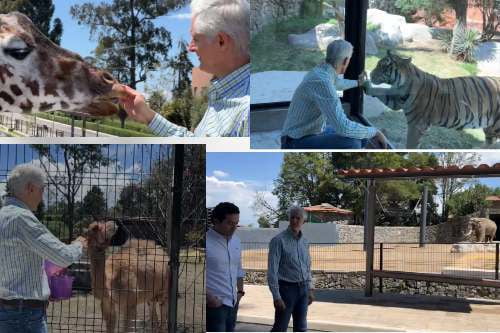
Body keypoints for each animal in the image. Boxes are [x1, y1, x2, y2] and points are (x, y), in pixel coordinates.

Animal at [364, 50, 500, 147]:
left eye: (382, 66)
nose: (371, 74)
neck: (401, 84)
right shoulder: (396, 100)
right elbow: (381, 91)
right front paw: (365, 85)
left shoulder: (417, 125)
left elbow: (411, 145)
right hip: (490, 128)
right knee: (490, 142)